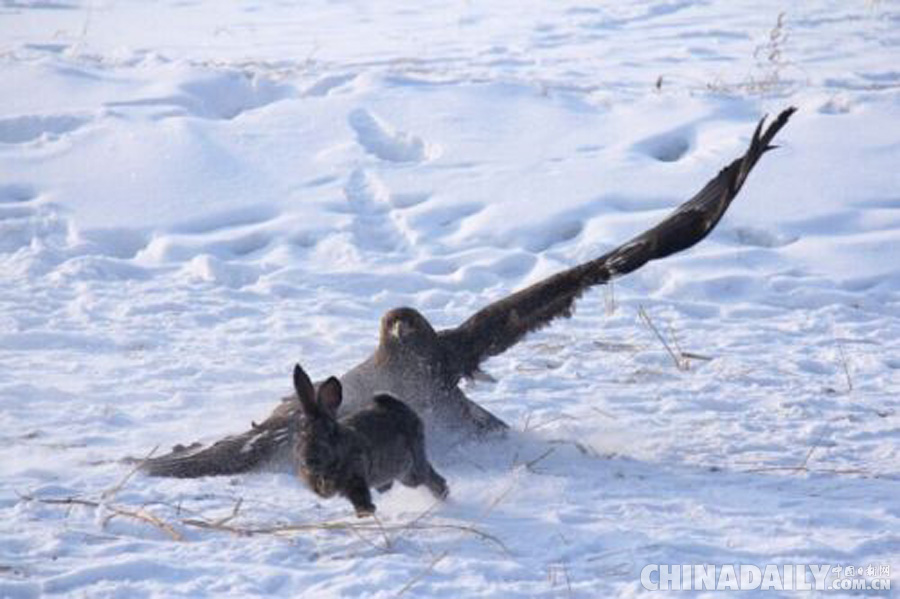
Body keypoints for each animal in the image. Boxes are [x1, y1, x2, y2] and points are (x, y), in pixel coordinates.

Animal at [292, 364, 446, 516]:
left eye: (328, 433)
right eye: (301, 433)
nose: (309, 460)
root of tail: (402, 408)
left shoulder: (356, 477)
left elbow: (360, 495)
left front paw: (365, 511)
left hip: (410, 470)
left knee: (429, 477)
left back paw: (442, 495)